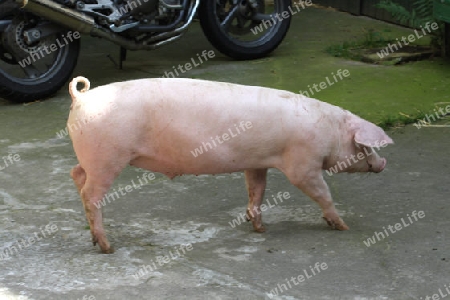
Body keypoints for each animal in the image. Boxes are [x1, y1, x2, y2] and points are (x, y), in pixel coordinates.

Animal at [67, 75, 394, 253]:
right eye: (365, 146)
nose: (384, 163)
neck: (330, 131)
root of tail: (81, 97)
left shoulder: (256, 162)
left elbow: (256, 191)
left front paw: (260, 228)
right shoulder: (303, 164)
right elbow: (321, 192)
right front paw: (343, 226)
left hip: (92, 158)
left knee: (76, 174)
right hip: (108, 157)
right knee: (90, 194)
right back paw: (108, 247)